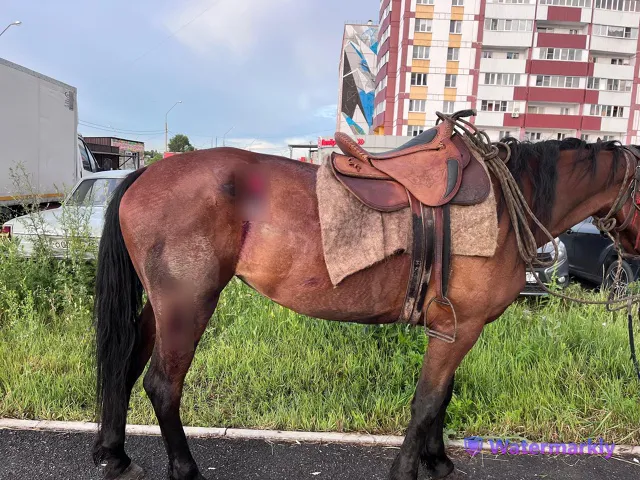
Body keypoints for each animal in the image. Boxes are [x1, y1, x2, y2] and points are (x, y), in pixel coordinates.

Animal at [91, 130, 640, 480]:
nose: (631, 253)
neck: (509, 204)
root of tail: (143, 175)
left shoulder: (452, 326)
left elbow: (441, 398)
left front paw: (438, 461)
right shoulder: (461, 328)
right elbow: (427, 402)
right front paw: (409, 469)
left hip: (159, 305)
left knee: (124, 367)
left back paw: (115, 456)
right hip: (189, 303)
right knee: (162, 385)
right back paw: (184, 469)